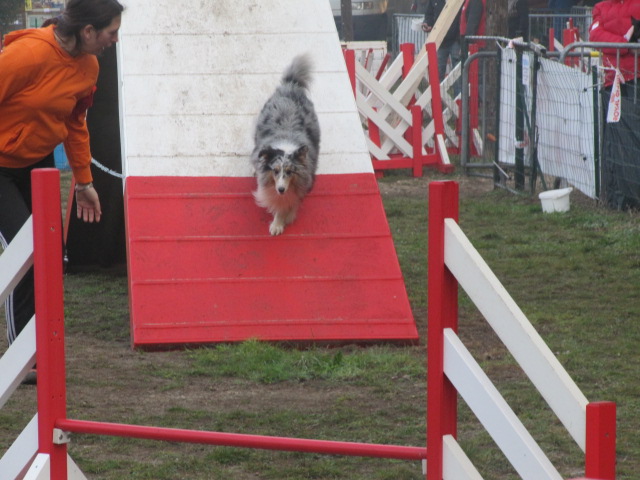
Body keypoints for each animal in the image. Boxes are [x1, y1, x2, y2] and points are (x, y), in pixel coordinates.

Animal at [250, 53, 320, 235]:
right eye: (275, 171)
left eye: (290, 171)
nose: (281, 189)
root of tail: (291, 85)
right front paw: (278, 223)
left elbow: (289, 203)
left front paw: (282, 220)